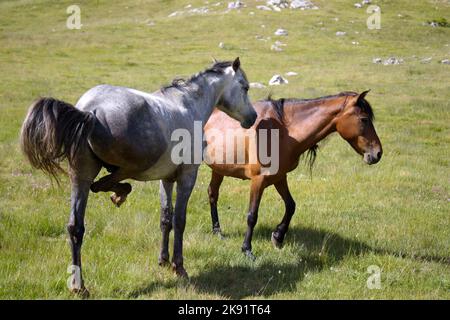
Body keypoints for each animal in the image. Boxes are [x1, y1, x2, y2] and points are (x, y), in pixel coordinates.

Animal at [20, 58, 256, 296]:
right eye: (245, 87)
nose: (252, 117)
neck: (189, 105)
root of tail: (91, 111)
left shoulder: (166, 179)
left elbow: (165, 219)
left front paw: (163, 260)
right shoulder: (187, 176)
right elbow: (179, 220)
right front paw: (178, 267)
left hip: (80, 177)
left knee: (76, 226)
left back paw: (79, 286)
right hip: (135, 164)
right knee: (111, 180)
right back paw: (119, 193)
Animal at [204, 90, 384, 260]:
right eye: (364, 119)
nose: (378, 153)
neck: (283, 130)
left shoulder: (279, 177)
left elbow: (291, 206)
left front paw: (278, 236)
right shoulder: (258, 180)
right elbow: (252, 215)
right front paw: (247, 249)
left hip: (218, 169)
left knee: (213, 193)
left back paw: (217, 231)